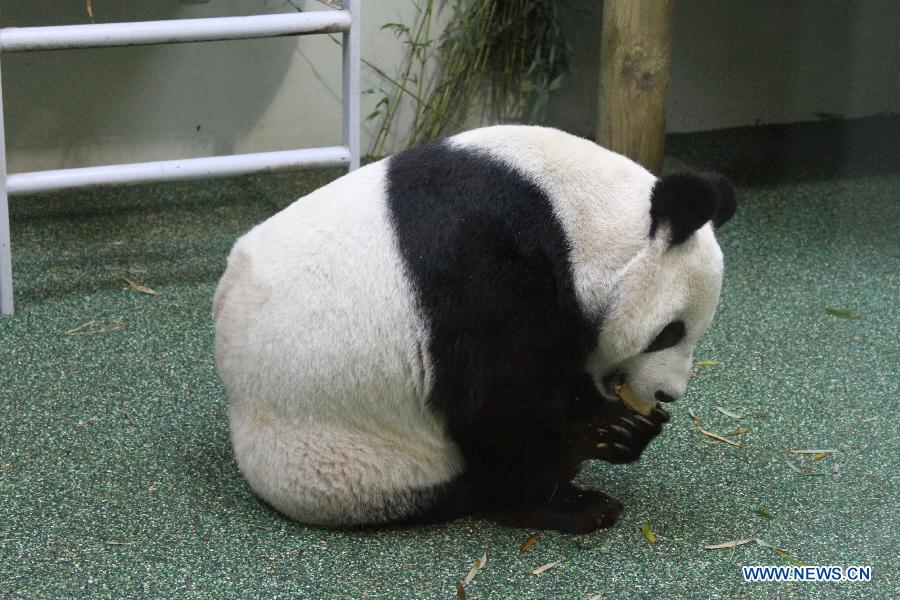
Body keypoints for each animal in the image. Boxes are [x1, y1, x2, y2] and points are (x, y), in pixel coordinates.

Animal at [214, 126, 736, 536]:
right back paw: (565, 501)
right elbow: (499, 398)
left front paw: (626, 429)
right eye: (670, 333)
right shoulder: (481, 268)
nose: (669, 393)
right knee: (461, 480)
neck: (571, 213)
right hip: (345, 460)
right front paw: (598, 447)